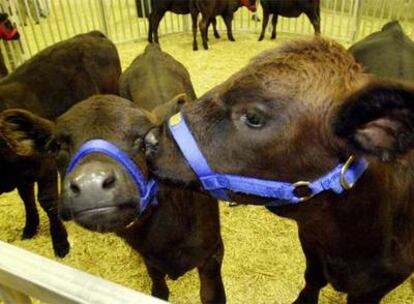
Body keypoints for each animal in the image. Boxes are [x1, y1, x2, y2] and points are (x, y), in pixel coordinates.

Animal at [0, 30, 121, 256]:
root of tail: (91, 34)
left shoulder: (44, 164)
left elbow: (46, 201)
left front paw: (60, 242)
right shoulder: (22, 174)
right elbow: (26, 197)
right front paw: (30, 227)